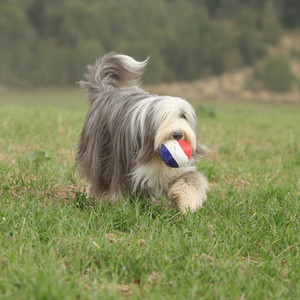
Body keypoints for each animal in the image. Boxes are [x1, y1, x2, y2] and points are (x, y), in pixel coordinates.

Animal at [77, 51, 209, 213]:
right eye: (164, 117)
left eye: (183, 115)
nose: (177, 134)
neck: (156, 155)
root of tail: (106, 92)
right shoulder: (125, 163)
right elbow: (122, 185)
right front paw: (120, 204)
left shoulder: (181, 167)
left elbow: (191, 179)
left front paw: (187, 203)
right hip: (101, 152)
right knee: (101, 178)